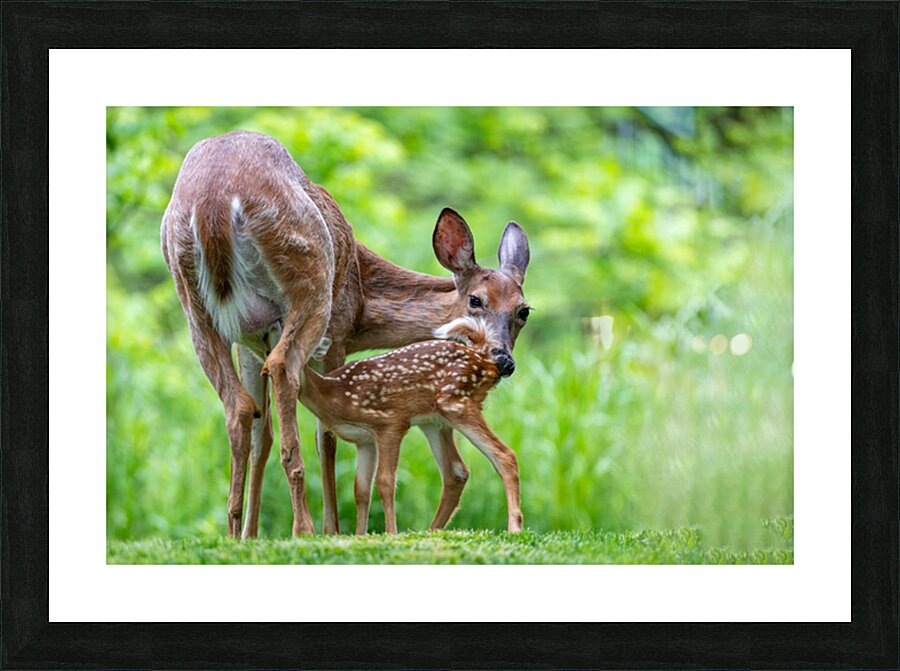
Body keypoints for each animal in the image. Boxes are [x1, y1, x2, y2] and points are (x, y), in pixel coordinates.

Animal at [300, 316, 523, 534]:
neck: (337, 394)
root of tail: (485, 359)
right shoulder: (364, 440)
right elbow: (361, 490)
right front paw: (360, 536)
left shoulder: (391, 423)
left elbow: (385, 480)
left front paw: (391, 533)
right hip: (435, 421)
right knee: (456, 472)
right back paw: (432, 531)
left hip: (456, 401)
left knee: (504, 455)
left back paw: (514, 529)